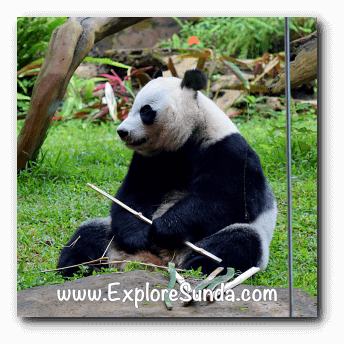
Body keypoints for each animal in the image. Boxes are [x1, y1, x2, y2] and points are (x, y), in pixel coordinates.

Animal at [56, 68, 276, 278]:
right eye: (131, 106)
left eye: (145, 110)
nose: (122, 131)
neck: (189, 134)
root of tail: (161, 261)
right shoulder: (152, 158)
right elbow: (134, 193)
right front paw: (137, 236)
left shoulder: (228, 151)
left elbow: (227, 200)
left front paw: (164, 227)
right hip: (111, 235)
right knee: (88, 234)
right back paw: (77, 266)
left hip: (221, 241)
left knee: (238, 243)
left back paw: (199, 266)